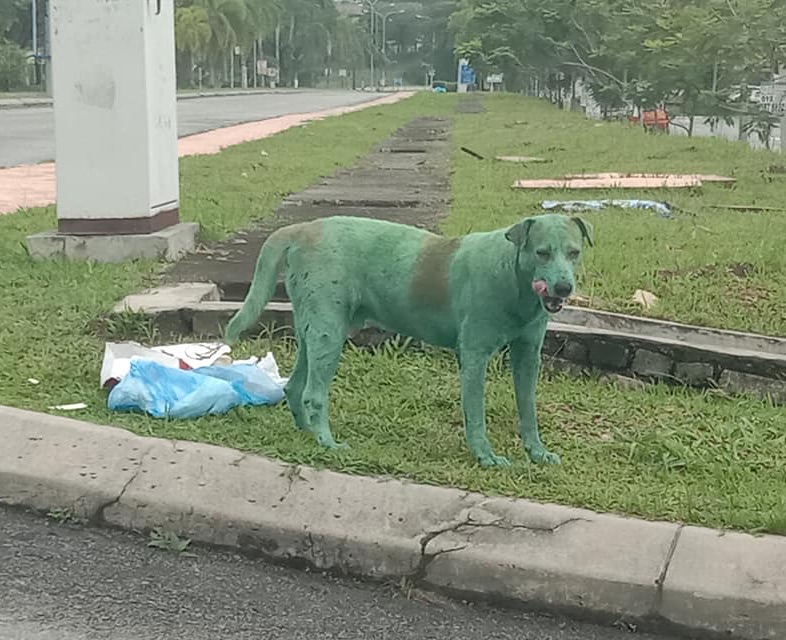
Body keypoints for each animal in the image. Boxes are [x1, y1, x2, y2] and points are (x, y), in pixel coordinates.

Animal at [224, 212, 592, 468]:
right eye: (542, 253)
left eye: (574, 252)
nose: (564, 288)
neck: (514, 277)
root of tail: (303, 228)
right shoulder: (474, 357)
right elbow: (476, 414)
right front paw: (486, 456)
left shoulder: (528, 355)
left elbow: (528, 408)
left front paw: (537, 452)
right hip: (329, 331)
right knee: (314, 394)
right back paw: (328, 442)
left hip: (313, 330)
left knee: (295, 386)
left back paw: (308, 433)